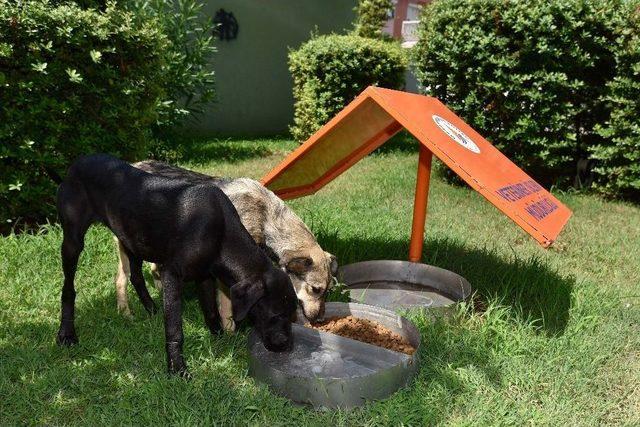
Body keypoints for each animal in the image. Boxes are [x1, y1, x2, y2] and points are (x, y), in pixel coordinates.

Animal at [56, 155, 296, 376]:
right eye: (275, 315)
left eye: (293, 313)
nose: (287, 346)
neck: (221, 232)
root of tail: (78, 161)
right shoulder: (171, 274)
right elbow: (174, 330)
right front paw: (177, 368)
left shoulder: (204, 276)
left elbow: (210, 311)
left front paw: (219, 338)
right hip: (73, 242)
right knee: (68, 288)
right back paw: (67, 334)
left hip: (132, 238)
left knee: (135, 275)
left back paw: (151, 309)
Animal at [115, 161, 338, 332]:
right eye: (315, 289)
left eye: (328, 290)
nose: (320, 320)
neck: (266, 218)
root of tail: (135, 164)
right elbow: (226, 306)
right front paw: (230, 333)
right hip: (126, 249)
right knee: (121, 279)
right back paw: (126, 312)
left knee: (154, 269)